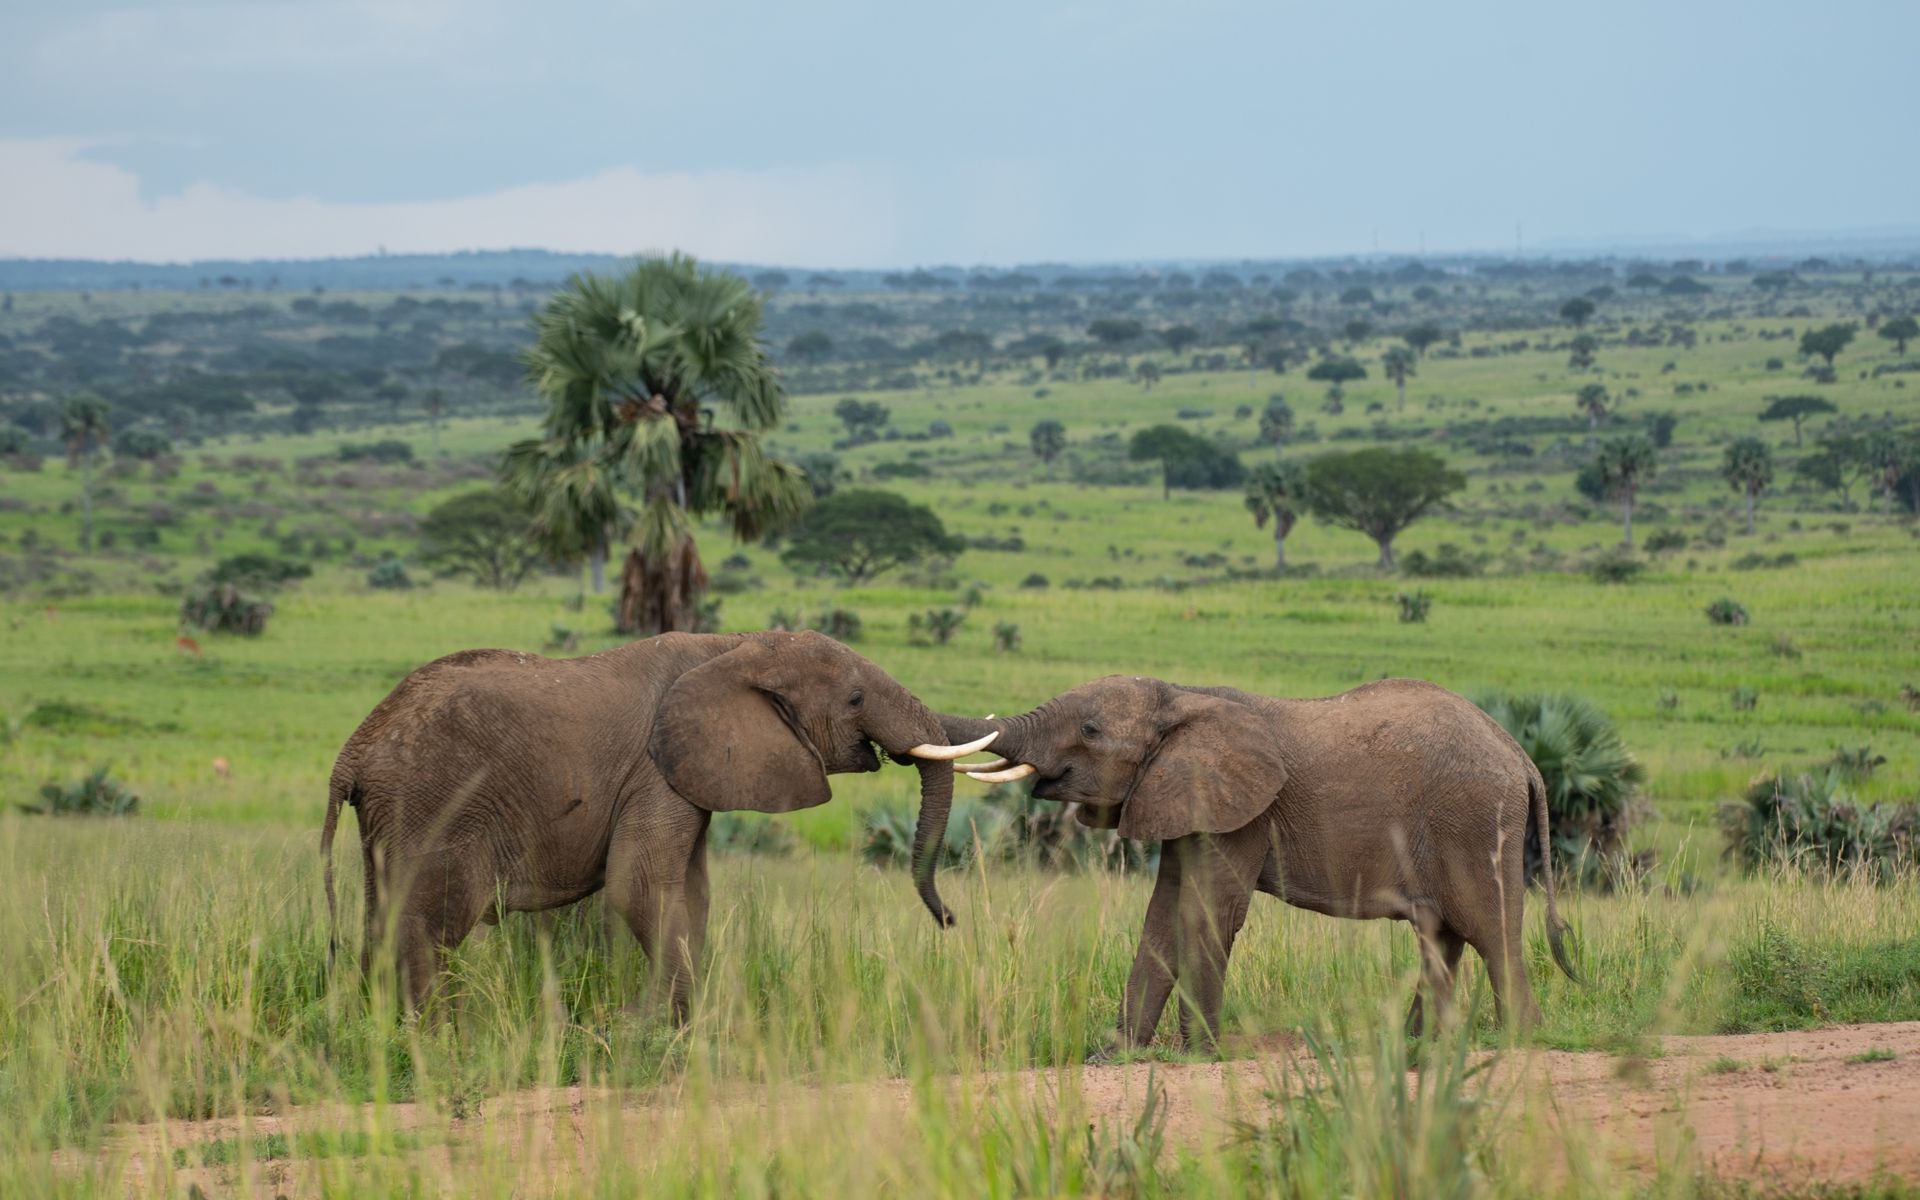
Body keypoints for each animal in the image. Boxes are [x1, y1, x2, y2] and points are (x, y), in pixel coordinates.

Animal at [321, 630, 993, 1014]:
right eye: (855, 699)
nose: (951, 919)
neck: (734, 643)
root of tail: (351, 751)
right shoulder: (653, 770)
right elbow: (641, 888)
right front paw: (661, 1031)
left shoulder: (683, 775)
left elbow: (691, 895)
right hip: (431, 805)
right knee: (430, 920)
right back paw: (430, 1038)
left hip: (392, 817)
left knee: (382, 915)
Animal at [936, 675, 1577, 1054]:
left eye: (1090, 730)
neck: (1182, 696)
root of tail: (1520, 752)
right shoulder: (1183, 797)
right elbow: (1162, 915)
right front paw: (1119, 1053)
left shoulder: (1243, 810)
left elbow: (1208, 912)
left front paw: (1202, 1053)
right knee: (1440, 935)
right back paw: (1422, 1045)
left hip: (1473, 820)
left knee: (1489, 931)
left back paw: (1517, 1040)